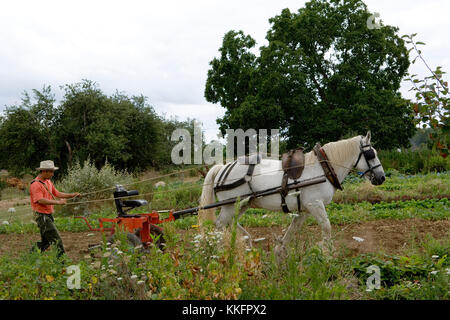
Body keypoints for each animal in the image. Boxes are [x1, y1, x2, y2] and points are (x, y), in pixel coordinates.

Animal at [199, 131, 384, 258]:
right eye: (371, 155)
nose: (382, 177)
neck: (322, 169)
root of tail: (222, 167)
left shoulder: (305, 209)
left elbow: (294, 228)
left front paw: (280, 249)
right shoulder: (315, 204)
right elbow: (326, 227)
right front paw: (328, 254)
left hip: (242, 204)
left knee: (231, 223)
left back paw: (246, 243)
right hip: (230, 205)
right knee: (219, 225)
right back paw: (221, 252)